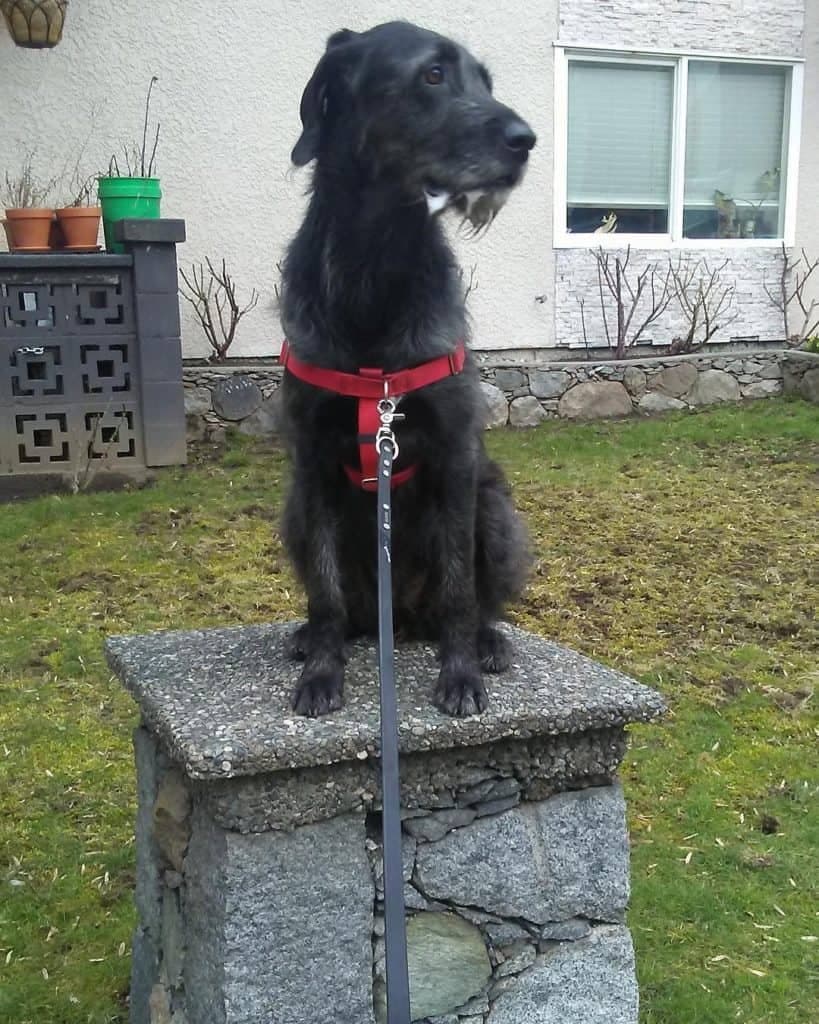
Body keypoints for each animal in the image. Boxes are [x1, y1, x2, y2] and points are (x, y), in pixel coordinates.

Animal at [280, 18, 536, 720]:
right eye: (433, 74)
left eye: (486, 81)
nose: (526, 141)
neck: (376, 265)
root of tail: (398, 617)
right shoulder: (311, 460)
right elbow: (325, 589)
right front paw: (322, 671)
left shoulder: (454, 457)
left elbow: (458, 584)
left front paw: (460, 674)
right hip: (291, 511)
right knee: (345, 606)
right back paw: (315, 636)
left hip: (497, 510)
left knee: (473, 597)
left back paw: (487, 640)